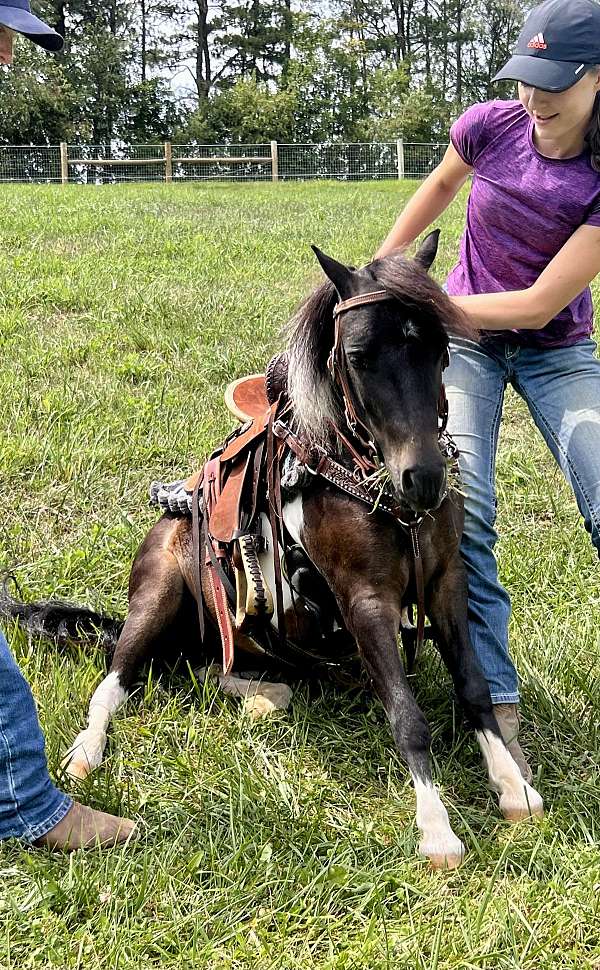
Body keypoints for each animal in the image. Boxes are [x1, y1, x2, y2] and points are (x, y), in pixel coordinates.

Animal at [1, 234, 544, 868]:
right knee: (117, 682)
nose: (425, 479)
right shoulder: (366, 601)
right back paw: (86, 753)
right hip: (157, 597)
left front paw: (512, 785)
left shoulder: (445, 582)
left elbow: (474, 686)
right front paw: (436, 828)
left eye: (440, 349)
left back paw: (265, 695)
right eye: (357, 356)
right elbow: (407, 715)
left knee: (208, 668)